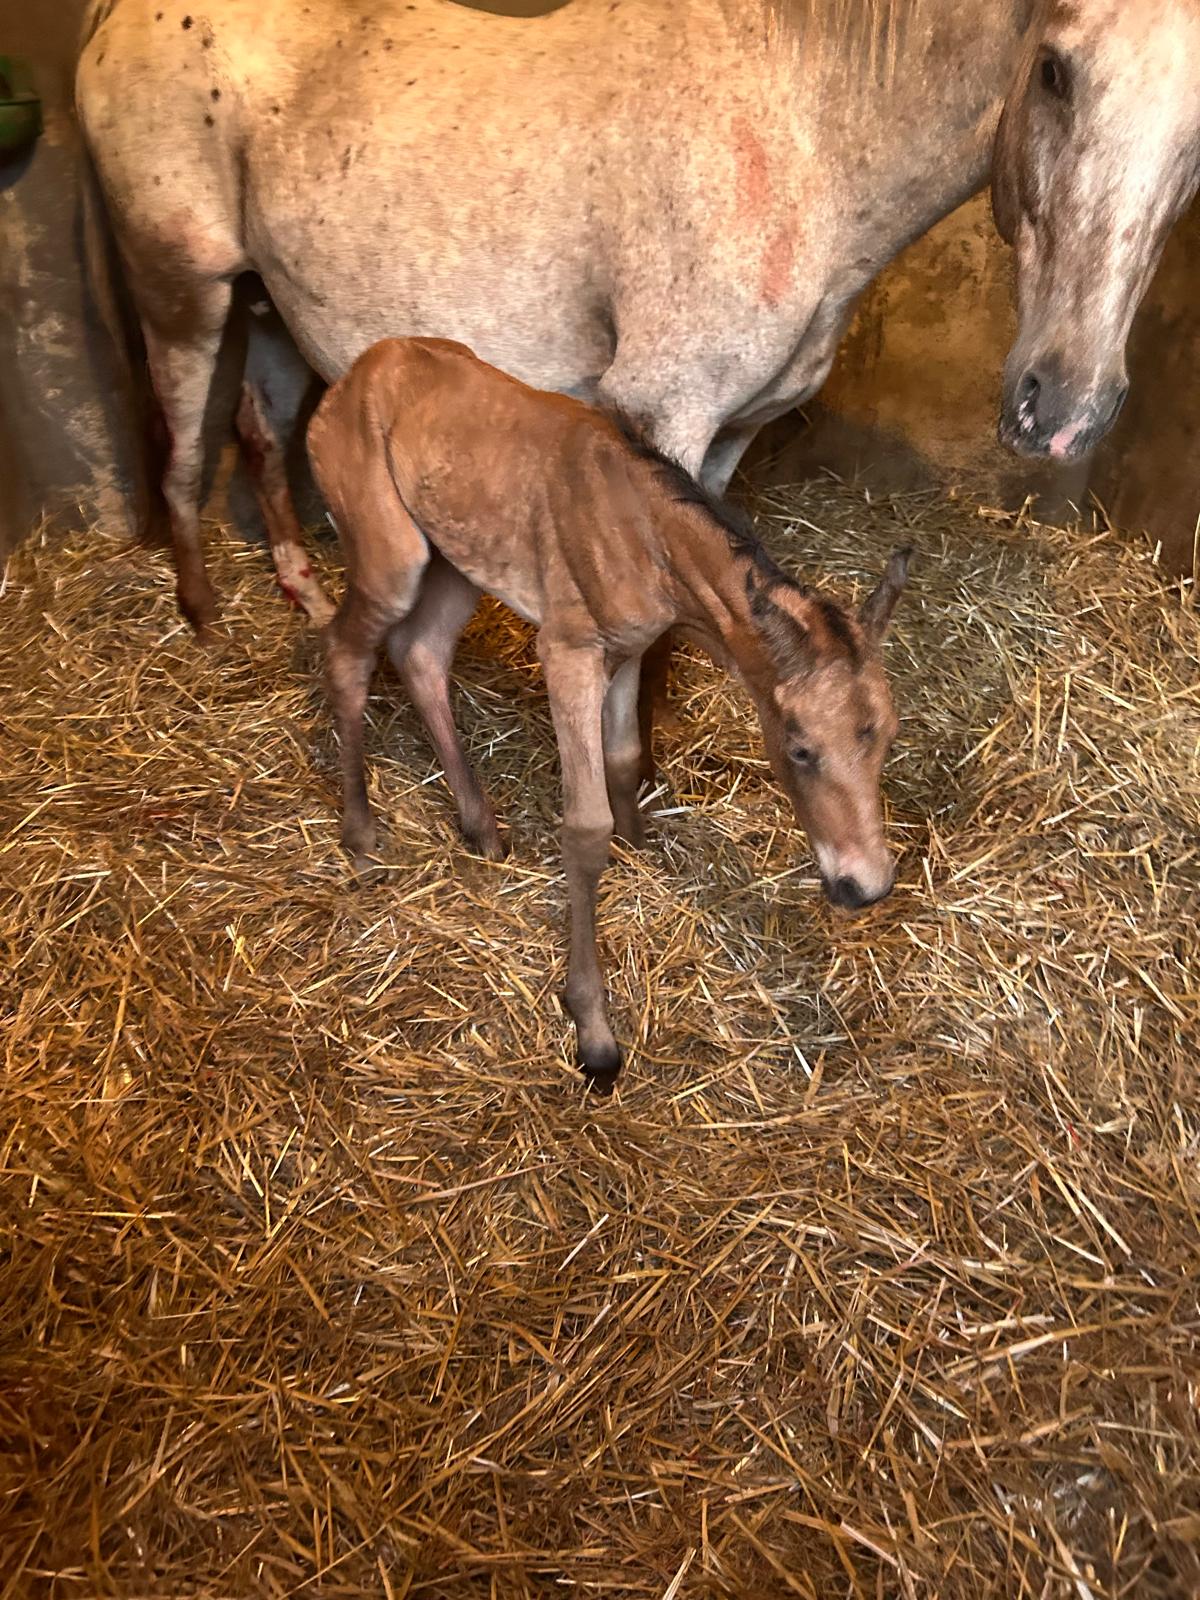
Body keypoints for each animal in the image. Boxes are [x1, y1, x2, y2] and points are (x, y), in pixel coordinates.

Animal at [74, 0, 1200, 644]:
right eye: (1054, 70)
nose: (1066, 407)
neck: (806, 129)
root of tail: (121, 16)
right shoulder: (658, 413)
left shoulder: (728, 434)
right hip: (184, 292)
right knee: (185, 449)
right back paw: (200, 617)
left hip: (269, 304)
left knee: (263, 435)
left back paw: (304, 593)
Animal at [306, 336, 910, 1087]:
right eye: (800, 748)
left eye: (885, 738)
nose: (865, 885)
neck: (646, 535)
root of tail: (352, 380)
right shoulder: (568, 649)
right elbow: (584, 826)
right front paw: (592, 1030)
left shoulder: (628, 649)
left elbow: (624, 756)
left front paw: (641, 843)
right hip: (391, 552)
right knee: (346, 653)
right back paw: (361, 836)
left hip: (455, 559)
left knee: (421, 651)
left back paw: (481, 828)